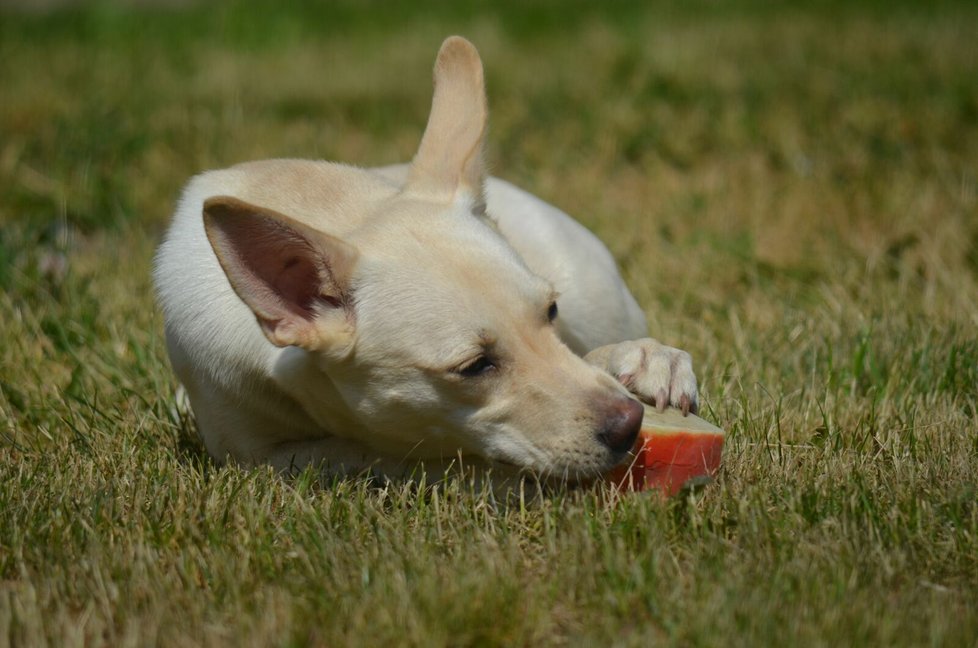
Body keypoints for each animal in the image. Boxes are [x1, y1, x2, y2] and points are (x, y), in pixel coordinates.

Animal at [154, 33, 692, 484]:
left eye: (550, 311)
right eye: (474, 367)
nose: (629, 426)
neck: (338, 209)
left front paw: (639, 361)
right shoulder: (260, 456)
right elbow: (381, 456)